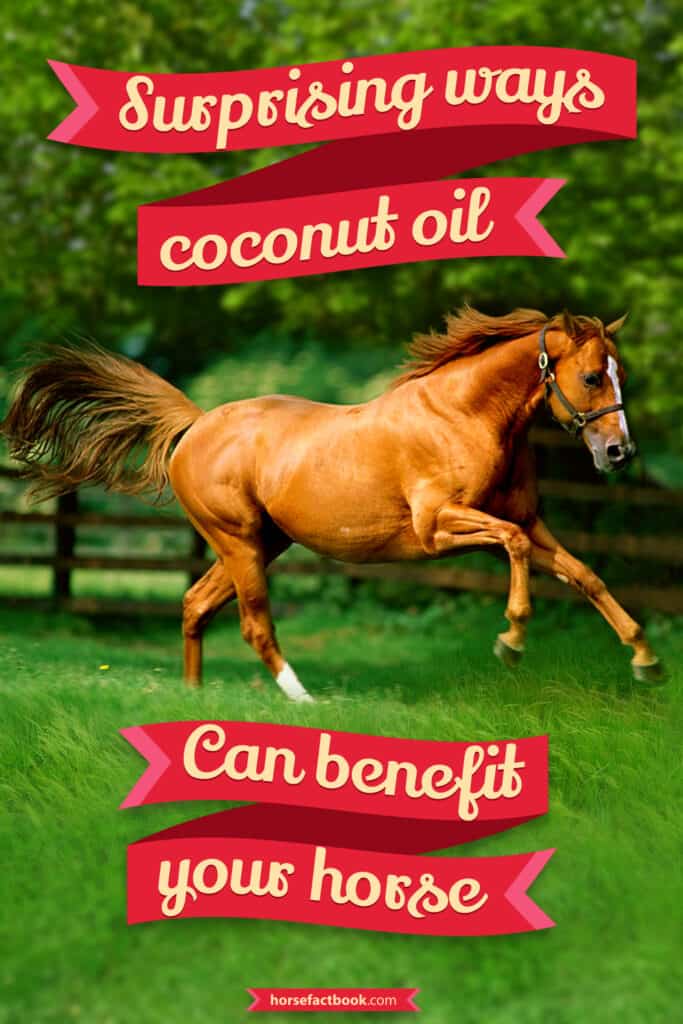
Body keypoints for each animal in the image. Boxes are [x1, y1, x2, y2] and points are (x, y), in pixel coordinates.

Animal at [1, 306, 662, 702]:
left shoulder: (528, 519)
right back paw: (303, 700)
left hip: (262, 543)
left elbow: (584, 574)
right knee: (254, 623)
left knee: (195, 605)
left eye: (622, 373)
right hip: (239, 542)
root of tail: (197, 424)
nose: (619, 452)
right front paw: (512, 640)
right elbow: (516, 547)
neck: (464, 417)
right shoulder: (439, 528)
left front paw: (645, 658)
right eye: (592, 377)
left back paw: (194, 698)